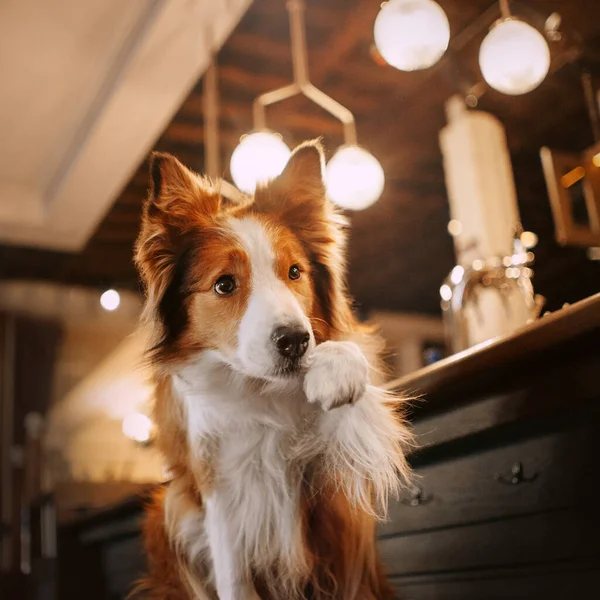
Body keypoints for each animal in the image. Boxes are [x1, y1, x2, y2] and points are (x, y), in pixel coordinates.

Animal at [133, 138, 410, 596]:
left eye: (294, 272)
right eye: (224, 284)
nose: (295, 341)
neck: (260, 390)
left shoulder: (338, 467)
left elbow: (353, 368)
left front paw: (336, 370)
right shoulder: (219, 488)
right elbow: (234, 578)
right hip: (166, 509)